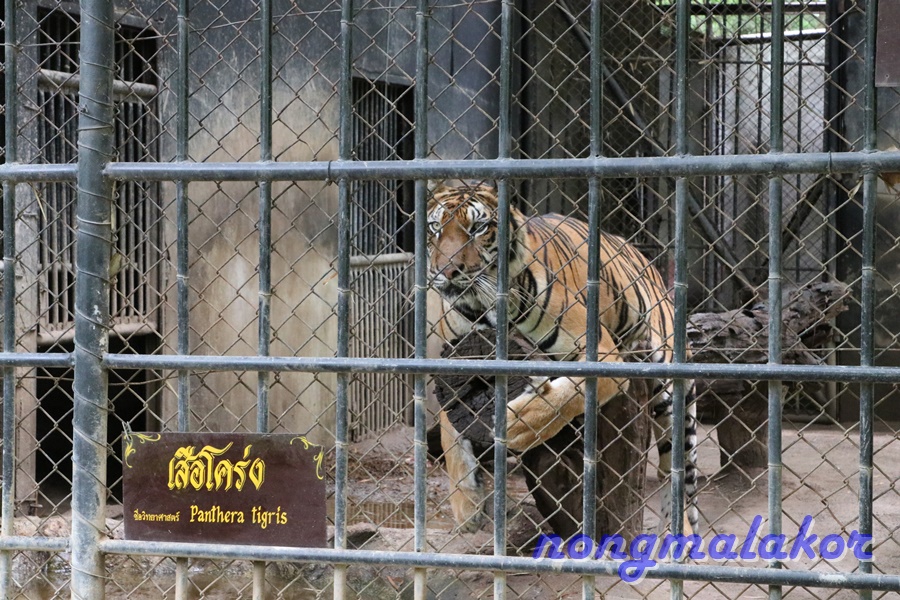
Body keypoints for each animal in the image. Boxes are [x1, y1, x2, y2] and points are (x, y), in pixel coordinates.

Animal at [427, 182, 700, 536]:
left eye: (478, 228)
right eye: (436, 227)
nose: (446, 272)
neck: (482, 307)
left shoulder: (602, 354)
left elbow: (567, 395)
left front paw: (518, 423)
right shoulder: (453, 360)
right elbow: (450, 433)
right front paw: (467, 507)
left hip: (670, 389)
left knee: (674, 470)